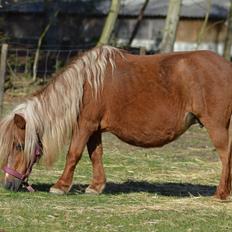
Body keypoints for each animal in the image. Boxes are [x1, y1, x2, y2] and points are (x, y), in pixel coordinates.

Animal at [0, 46, 232, 200]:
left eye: (18, 146)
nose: (9, 184)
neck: (86, 84)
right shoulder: (94, 129)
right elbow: (96, 155)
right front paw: (96, 186)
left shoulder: (85, 125)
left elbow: (73, 154)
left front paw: (61, 186)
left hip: (216, 126)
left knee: (225, 155)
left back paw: (221, 194)